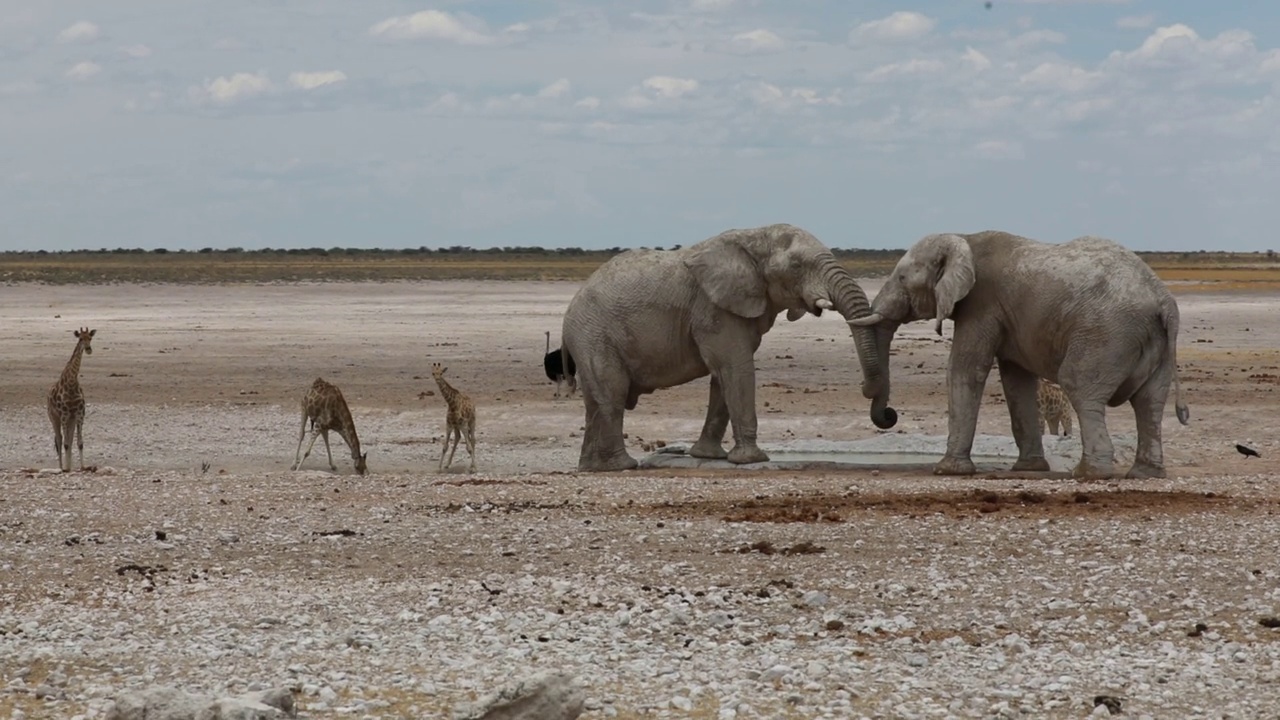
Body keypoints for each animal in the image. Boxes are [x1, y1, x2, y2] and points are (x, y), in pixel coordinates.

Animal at [46, 325, 96, 471]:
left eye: (90, 338)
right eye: (80, 338)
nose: (88, 349)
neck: (72, 384)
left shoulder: (79, 414)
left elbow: (79, 442)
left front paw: (83, 467)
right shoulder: (63, 414)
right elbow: (65, 443)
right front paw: (66, 469)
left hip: (71, 419)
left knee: (68, 439)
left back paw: (68, 465)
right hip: (54, 418)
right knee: (59, 440)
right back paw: (62, 467)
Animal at [565, 224, 896, 471]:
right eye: (797, 266)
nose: (888, 414)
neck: (754, 237)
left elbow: (722, 376)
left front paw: (709, 457)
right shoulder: (712, 308)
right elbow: (736, 367)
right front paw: (752, 460)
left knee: (596, 402)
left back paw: (592, 468)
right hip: (594, 336)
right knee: (613, 394)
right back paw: (622, 465)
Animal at [849, 229, 1187, 476]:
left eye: (902, 278)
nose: (889, 414)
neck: (964, 238)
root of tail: (1164, 301)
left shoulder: (981, 304)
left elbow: (965, 369)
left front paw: (948, 470)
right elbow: (1017, 381)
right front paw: (1030, 468)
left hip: (1106, 334)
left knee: (1080, 387)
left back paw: (1089, 473)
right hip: (1154, 342)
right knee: (1149, 402)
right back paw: (1144, 474)